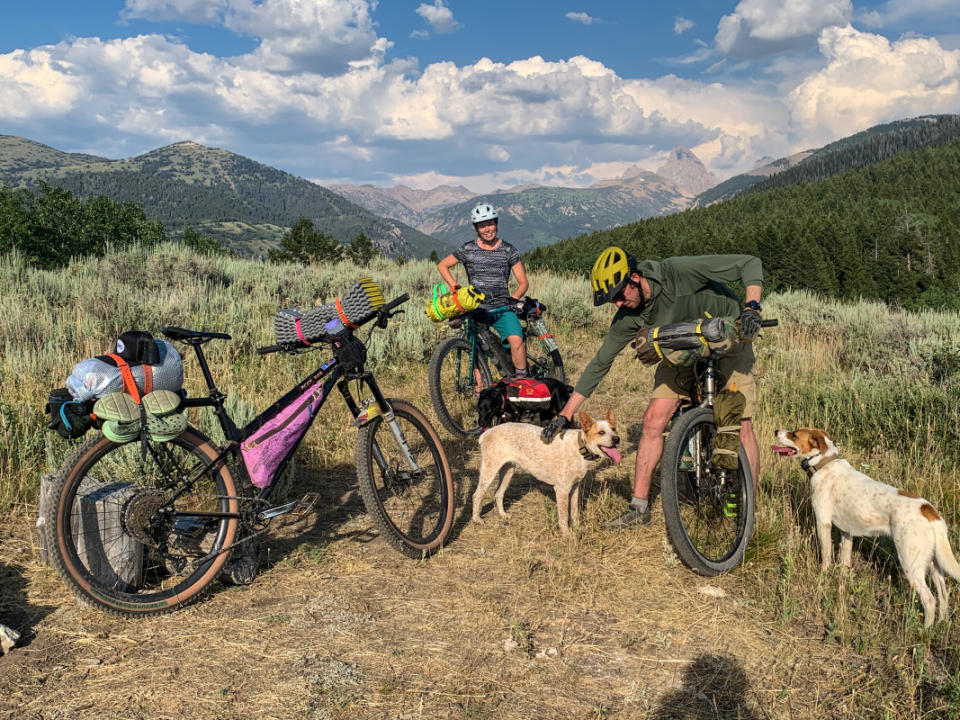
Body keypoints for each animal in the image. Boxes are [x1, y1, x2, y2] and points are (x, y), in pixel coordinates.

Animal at [474, 408, 624, 536]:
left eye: (614, 429)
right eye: (601, 432)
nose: (617, 439)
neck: (580, 448)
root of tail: (486, 433)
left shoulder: (575, 487)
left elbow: (574, 512)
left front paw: (577, 528)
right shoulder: (562, 490)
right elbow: (564, 516)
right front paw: (567, 535)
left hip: (508, 471)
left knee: (498, 493)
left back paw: (503, 515)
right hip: (489, 471)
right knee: (477, 495)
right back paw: (476, 519)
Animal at [772, 428, 960, 624]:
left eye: (794, 434)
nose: (776, 431)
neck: (823, 463)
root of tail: (928, 510)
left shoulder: (823, 523)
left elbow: (826, 557)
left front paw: (822, 578)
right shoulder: (846, 532)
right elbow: (844, 561)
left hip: (911, 563)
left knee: (930, 600)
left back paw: (925, 629)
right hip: (934, 563)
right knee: (943, 595)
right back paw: (941, 624)